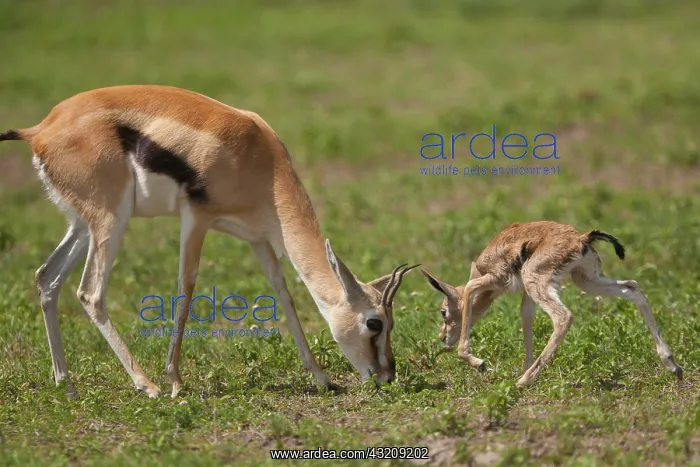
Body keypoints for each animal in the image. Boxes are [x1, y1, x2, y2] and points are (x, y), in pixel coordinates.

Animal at [0, 84, 419, 399]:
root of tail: (41, 129)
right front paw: (174, 381)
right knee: (90, 293)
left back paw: (66, 386)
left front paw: (321, 377)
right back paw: (147, 385)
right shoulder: (196, 219)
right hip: (111, 222)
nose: (386, 375)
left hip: (82, 226)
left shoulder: (259, 238)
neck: (260, 159)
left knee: (47, 278)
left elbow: (284, 293)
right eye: (374, 323)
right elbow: (186, 290)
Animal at [421, 220, 683, 387]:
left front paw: (479, 363)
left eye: (443, 312)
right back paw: (672, 365)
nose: (442, 337)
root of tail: (581, 238)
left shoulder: (491, 281)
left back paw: (523, 382)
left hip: (541, 282)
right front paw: (525, 366)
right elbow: (526, 318)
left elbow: (469, 293)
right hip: (586, 280)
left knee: (563, 317)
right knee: (633, 289)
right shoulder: (526, 295)